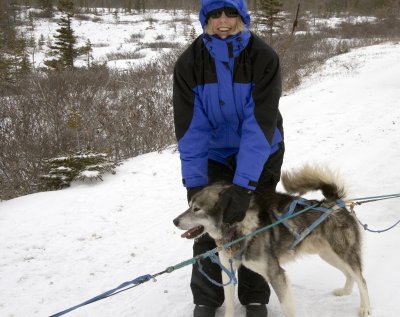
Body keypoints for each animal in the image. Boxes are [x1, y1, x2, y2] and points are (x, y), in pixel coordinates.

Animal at [173, 164, 370, 314]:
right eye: (189, 205)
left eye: (197, 209)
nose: (174, 221)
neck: (238, 230)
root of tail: (335, 203)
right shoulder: (227, 271)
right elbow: (229, 305)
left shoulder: (276, 274)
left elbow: (287, 309)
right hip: (328, 255)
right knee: (349, 274)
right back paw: (345, 291)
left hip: (343, 253)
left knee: (361, 279)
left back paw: (365, 308)